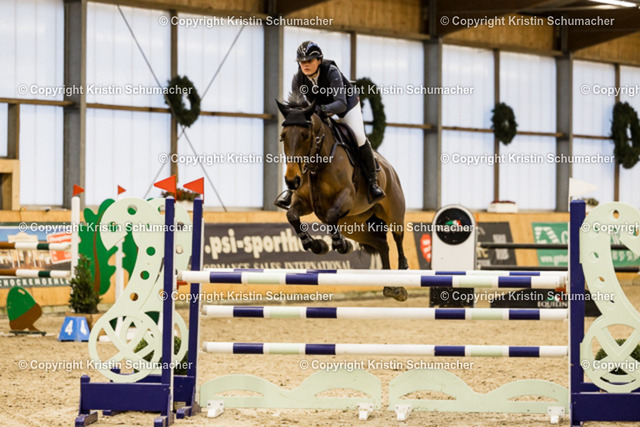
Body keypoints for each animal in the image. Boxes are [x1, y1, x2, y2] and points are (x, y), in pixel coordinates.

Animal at [275, 94, 409, 301]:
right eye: (283, 137)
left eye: (306, 136)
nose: (292, 181)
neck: (317, 164)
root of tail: (390, 169)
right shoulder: (303, 202)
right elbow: (292, 216)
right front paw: (317, 245)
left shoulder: (346, 198)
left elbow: (330, 216)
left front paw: (342, 245)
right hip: (353, 225)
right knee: (382, 244)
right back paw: (389, 286)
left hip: (393, 214)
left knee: (397, 238)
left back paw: (401, 280)